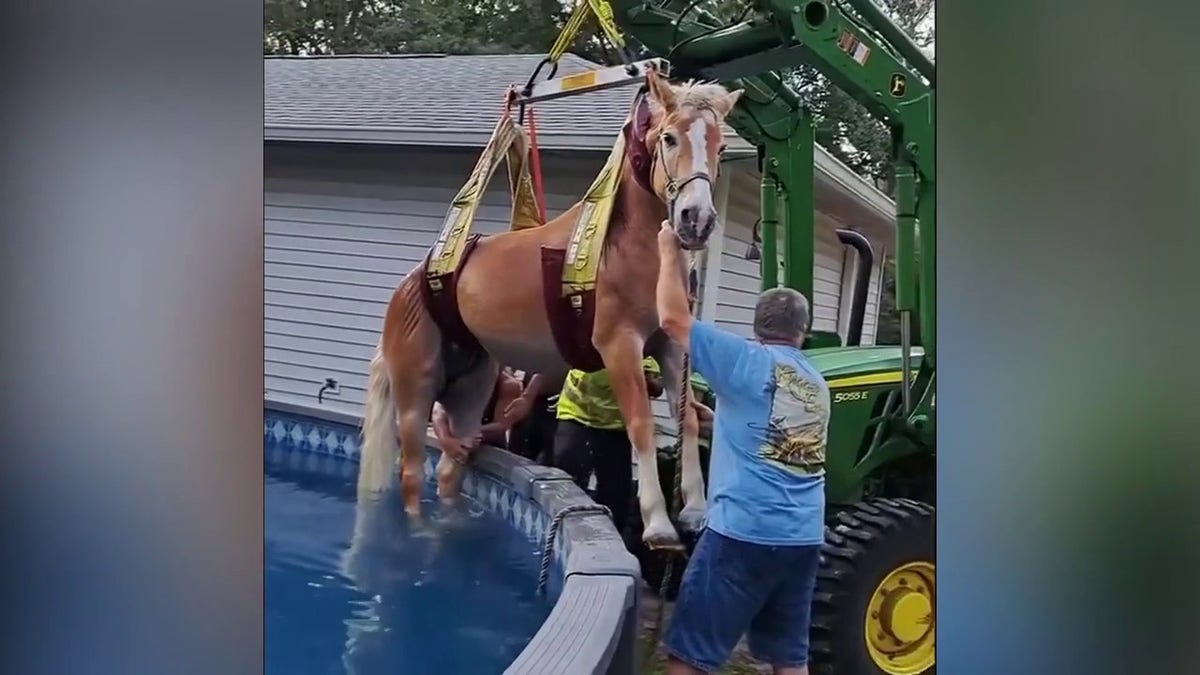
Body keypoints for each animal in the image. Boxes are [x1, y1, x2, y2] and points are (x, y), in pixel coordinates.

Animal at [355, 70, 734, 550]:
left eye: (720, 147)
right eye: (668, 137)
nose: (695, 219)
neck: (623, 245)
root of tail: (410, 283)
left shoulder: (670, 345)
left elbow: (687, 421)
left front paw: (696, 511)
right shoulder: (619, 345)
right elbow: (641, 424)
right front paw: (659, 525)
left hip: (470, 387)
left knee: (448, 468)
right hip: (414, 388)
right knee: (409, 472)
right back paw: (419, 531)